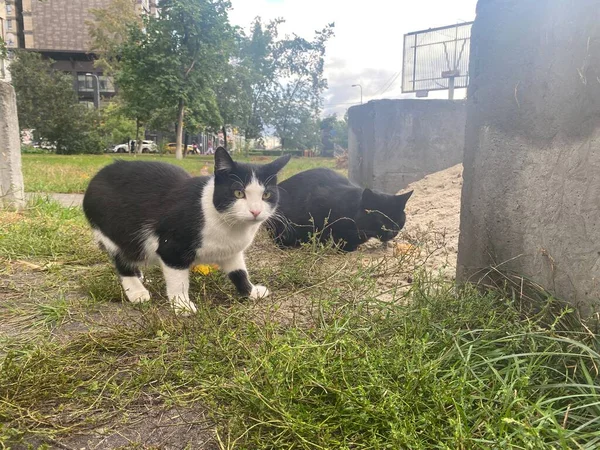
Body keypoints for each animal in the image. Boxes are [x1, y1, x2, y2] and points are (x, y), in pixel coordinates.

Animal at [82, 147, 290, 312]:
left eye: (266, 195)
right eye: (238, 192)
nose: (255, 211)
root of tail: (97, 176)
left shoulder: (231, 251)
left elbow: (239, 272)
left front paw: (251, 291)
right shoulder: (171, 248)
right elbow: (178, 281)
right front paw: (182, 305)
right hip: (113, 229)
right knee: (121, 258)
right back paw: (136, 290)